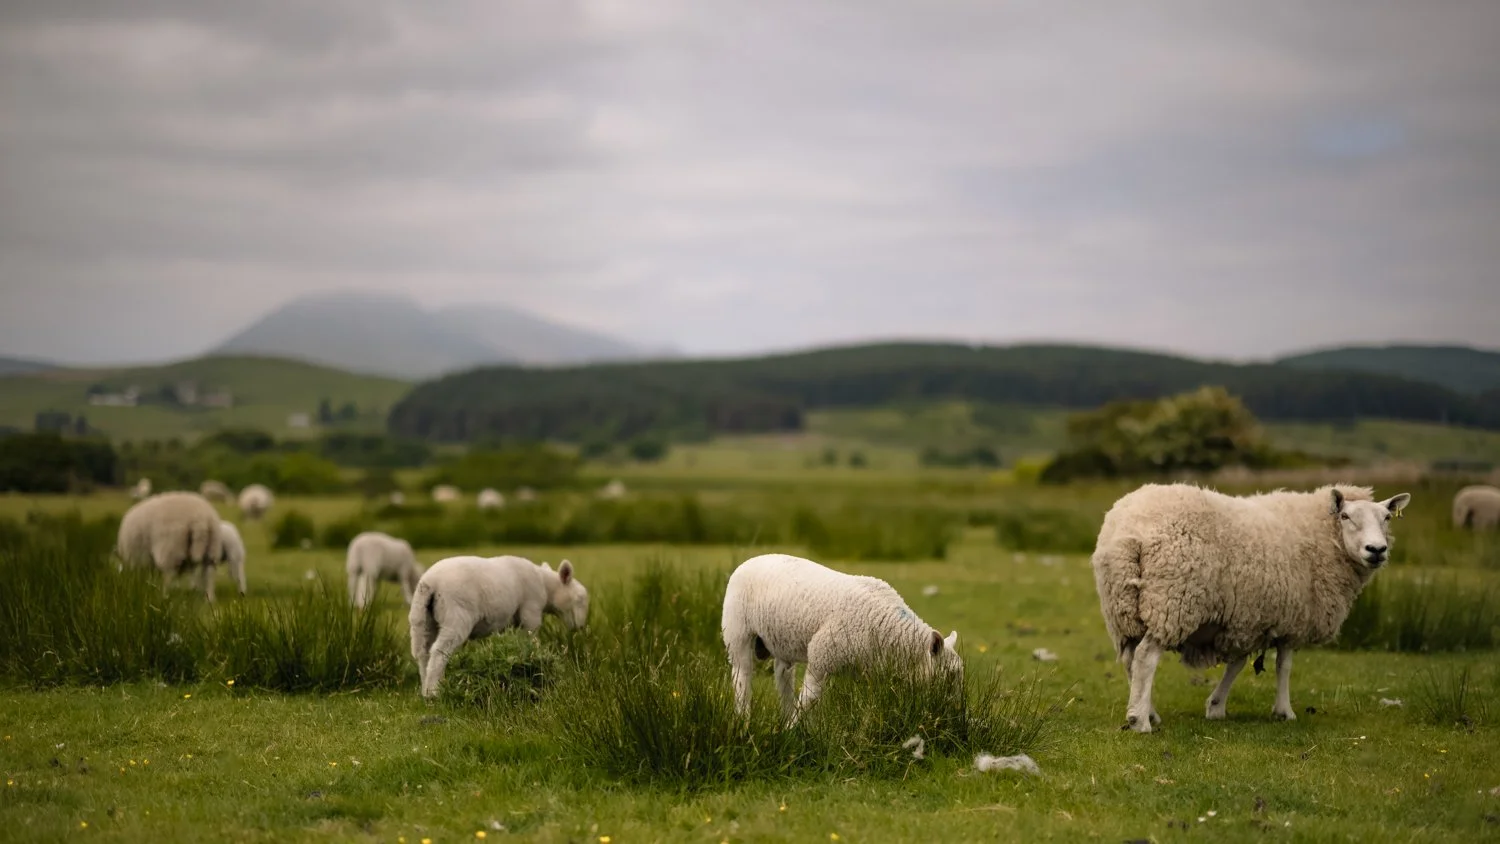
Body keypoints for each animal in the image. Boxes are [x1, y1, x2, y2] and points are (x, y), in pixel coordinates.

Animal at [408, 555, 589, 699]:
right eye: (580, 599)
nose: (580, 627)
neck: (545, 584)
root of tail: (431, 582)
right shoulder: (531, 612)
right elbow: (531, 641)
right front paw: (537, 665)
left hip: (421, 618)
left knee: (422, 653)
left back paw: (425, 691)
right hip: (457, 615)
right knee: (439, 652)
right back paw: (435, 693)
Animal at [721, 553, 962, 724]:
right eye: (949, 676)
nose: (957, 713)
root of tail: (750, 561)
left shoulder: (869, 672)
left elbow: (871, 705)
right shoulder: (821, 657)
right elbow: (808, 700)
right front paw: (792, 733)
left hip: (781, 641)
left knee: (783, 676)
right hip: (737, 632)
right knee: (742, 677)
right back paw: (743, 721)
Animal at [1091, 483, 1411, 733]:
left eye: (1386, 518)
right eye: (1345, 516)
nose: (1377, 550)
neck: (1322, 535)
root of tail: (1129, 528)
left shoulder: (1247, 617)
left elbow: (1238, 662)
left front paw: (1216, 706)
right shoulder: (1291, 619)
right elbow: (1284, 666)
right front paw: (1284, 711)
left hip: (1123, 608)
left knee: (1131, 660)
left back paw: (1148, 711)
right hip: (1171, 602)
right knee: (1146, 658)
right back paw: (1140, 721)